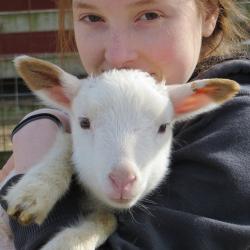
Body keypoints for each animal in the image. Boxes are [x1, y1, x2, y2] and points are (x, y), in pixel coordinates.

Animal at [3, 56, 238, 250]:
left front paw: (67, 243)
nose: (122, 180)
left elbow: (107, 219)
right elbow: (66, 145)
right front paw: (35, 190)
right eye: (84, 122)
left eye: (163, 127)